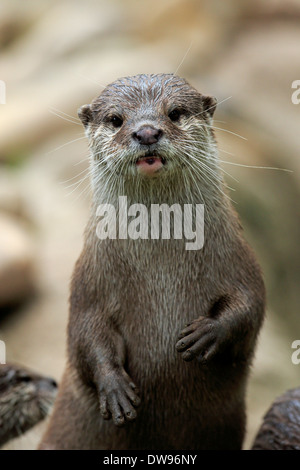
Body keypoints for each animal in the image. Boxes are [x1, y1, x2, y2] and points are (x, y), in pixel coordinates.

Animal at [38, 74, 264, 452]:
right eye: (116, 119)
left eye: (174, 113)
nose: (146, 132)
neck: (161, 275)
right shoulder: (89, 280)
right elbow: (85, 333)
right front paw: (115, 389)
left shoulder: (239, 258)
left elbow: (251, 305)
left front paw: (207, 333)